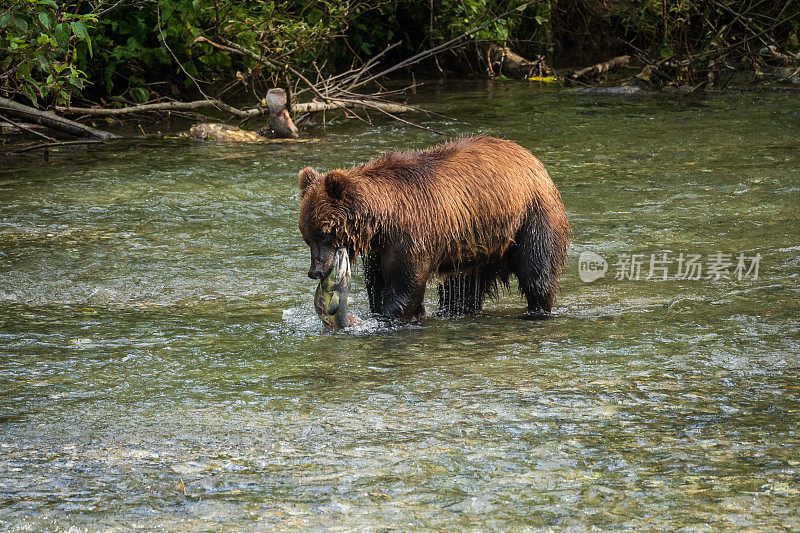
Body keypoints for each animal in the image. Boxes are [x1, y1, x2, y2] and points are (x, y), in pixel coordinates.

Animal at [298, 137, 568, 320]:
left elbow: (406, 285)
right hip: (475, 243)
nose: (315, 271)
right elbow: (377, 284)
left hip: (531, 216)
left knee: (537, 272)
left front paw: (389, 316)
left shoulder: (411, 234)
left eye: (324, 232)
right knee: (461, 289)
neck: (382, 219)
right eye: (307, 237)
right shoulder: (378, 248)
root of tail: (532, 158)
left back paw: (537, 309)